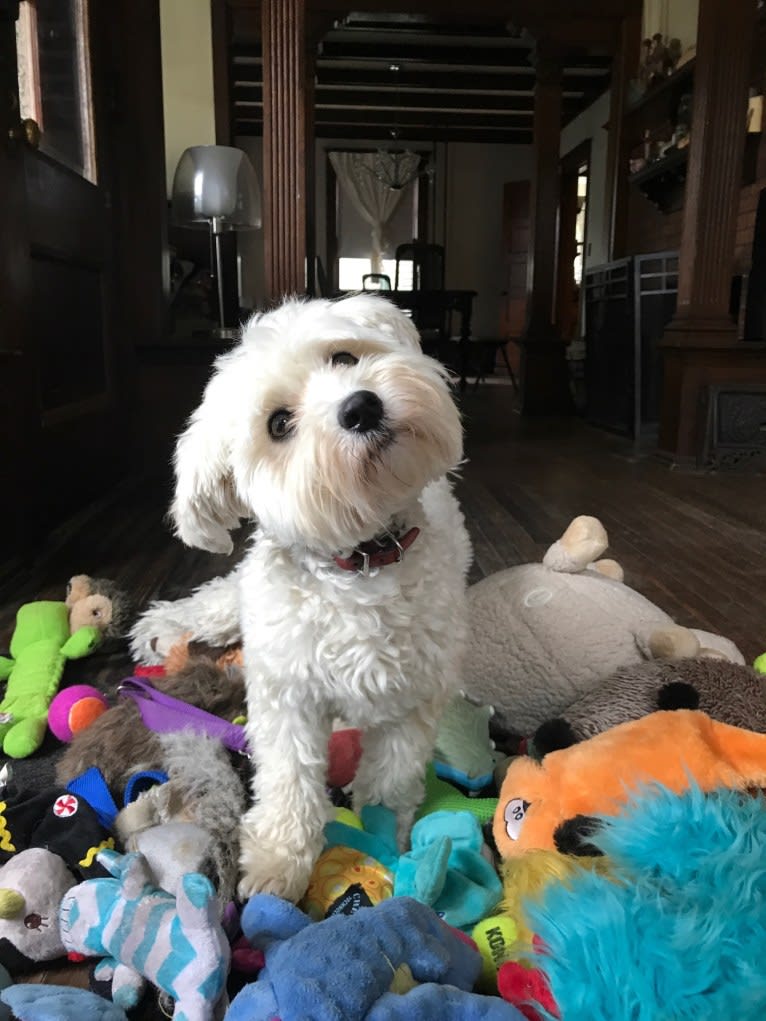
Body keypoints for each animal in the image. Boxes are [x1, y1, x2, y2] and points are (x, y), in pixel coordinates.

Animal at [131, 296, 471, 902]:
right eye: (279, 424)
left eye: (343, 357)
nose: (360, 406)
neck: (360, 560)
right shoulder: (286, 695)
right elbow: (288, 781)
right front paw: (277, 860)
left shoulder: (411, 701)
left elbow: (390, 779)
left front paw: (380, 841)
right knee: (221, 598)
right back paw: (166, 626)